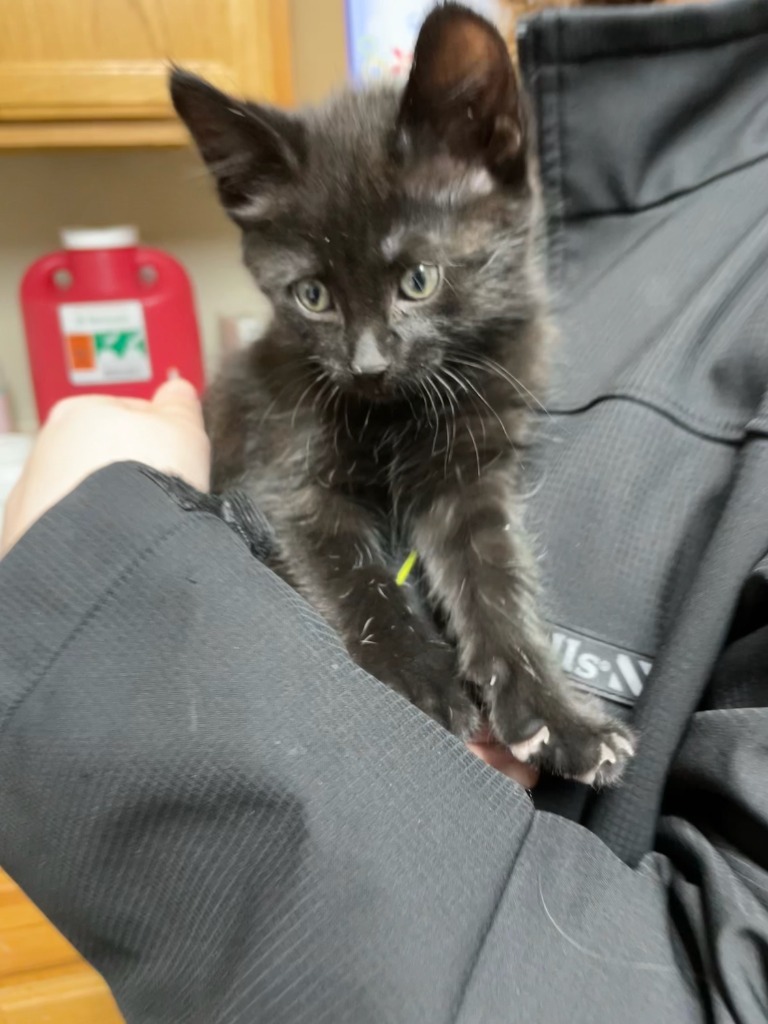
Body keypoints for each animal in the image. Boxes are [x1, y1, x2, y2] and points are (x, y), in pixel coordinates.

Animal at [174, 4, 638, 782]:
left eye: (418, 280)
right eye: (313, 296)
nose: (365, 364)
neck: (398, 411)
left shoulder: (471, 472)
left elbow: (497, 581)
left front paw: (554, 713)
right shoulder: (284, 477)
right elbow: (354, 577)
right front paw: (422, 676)